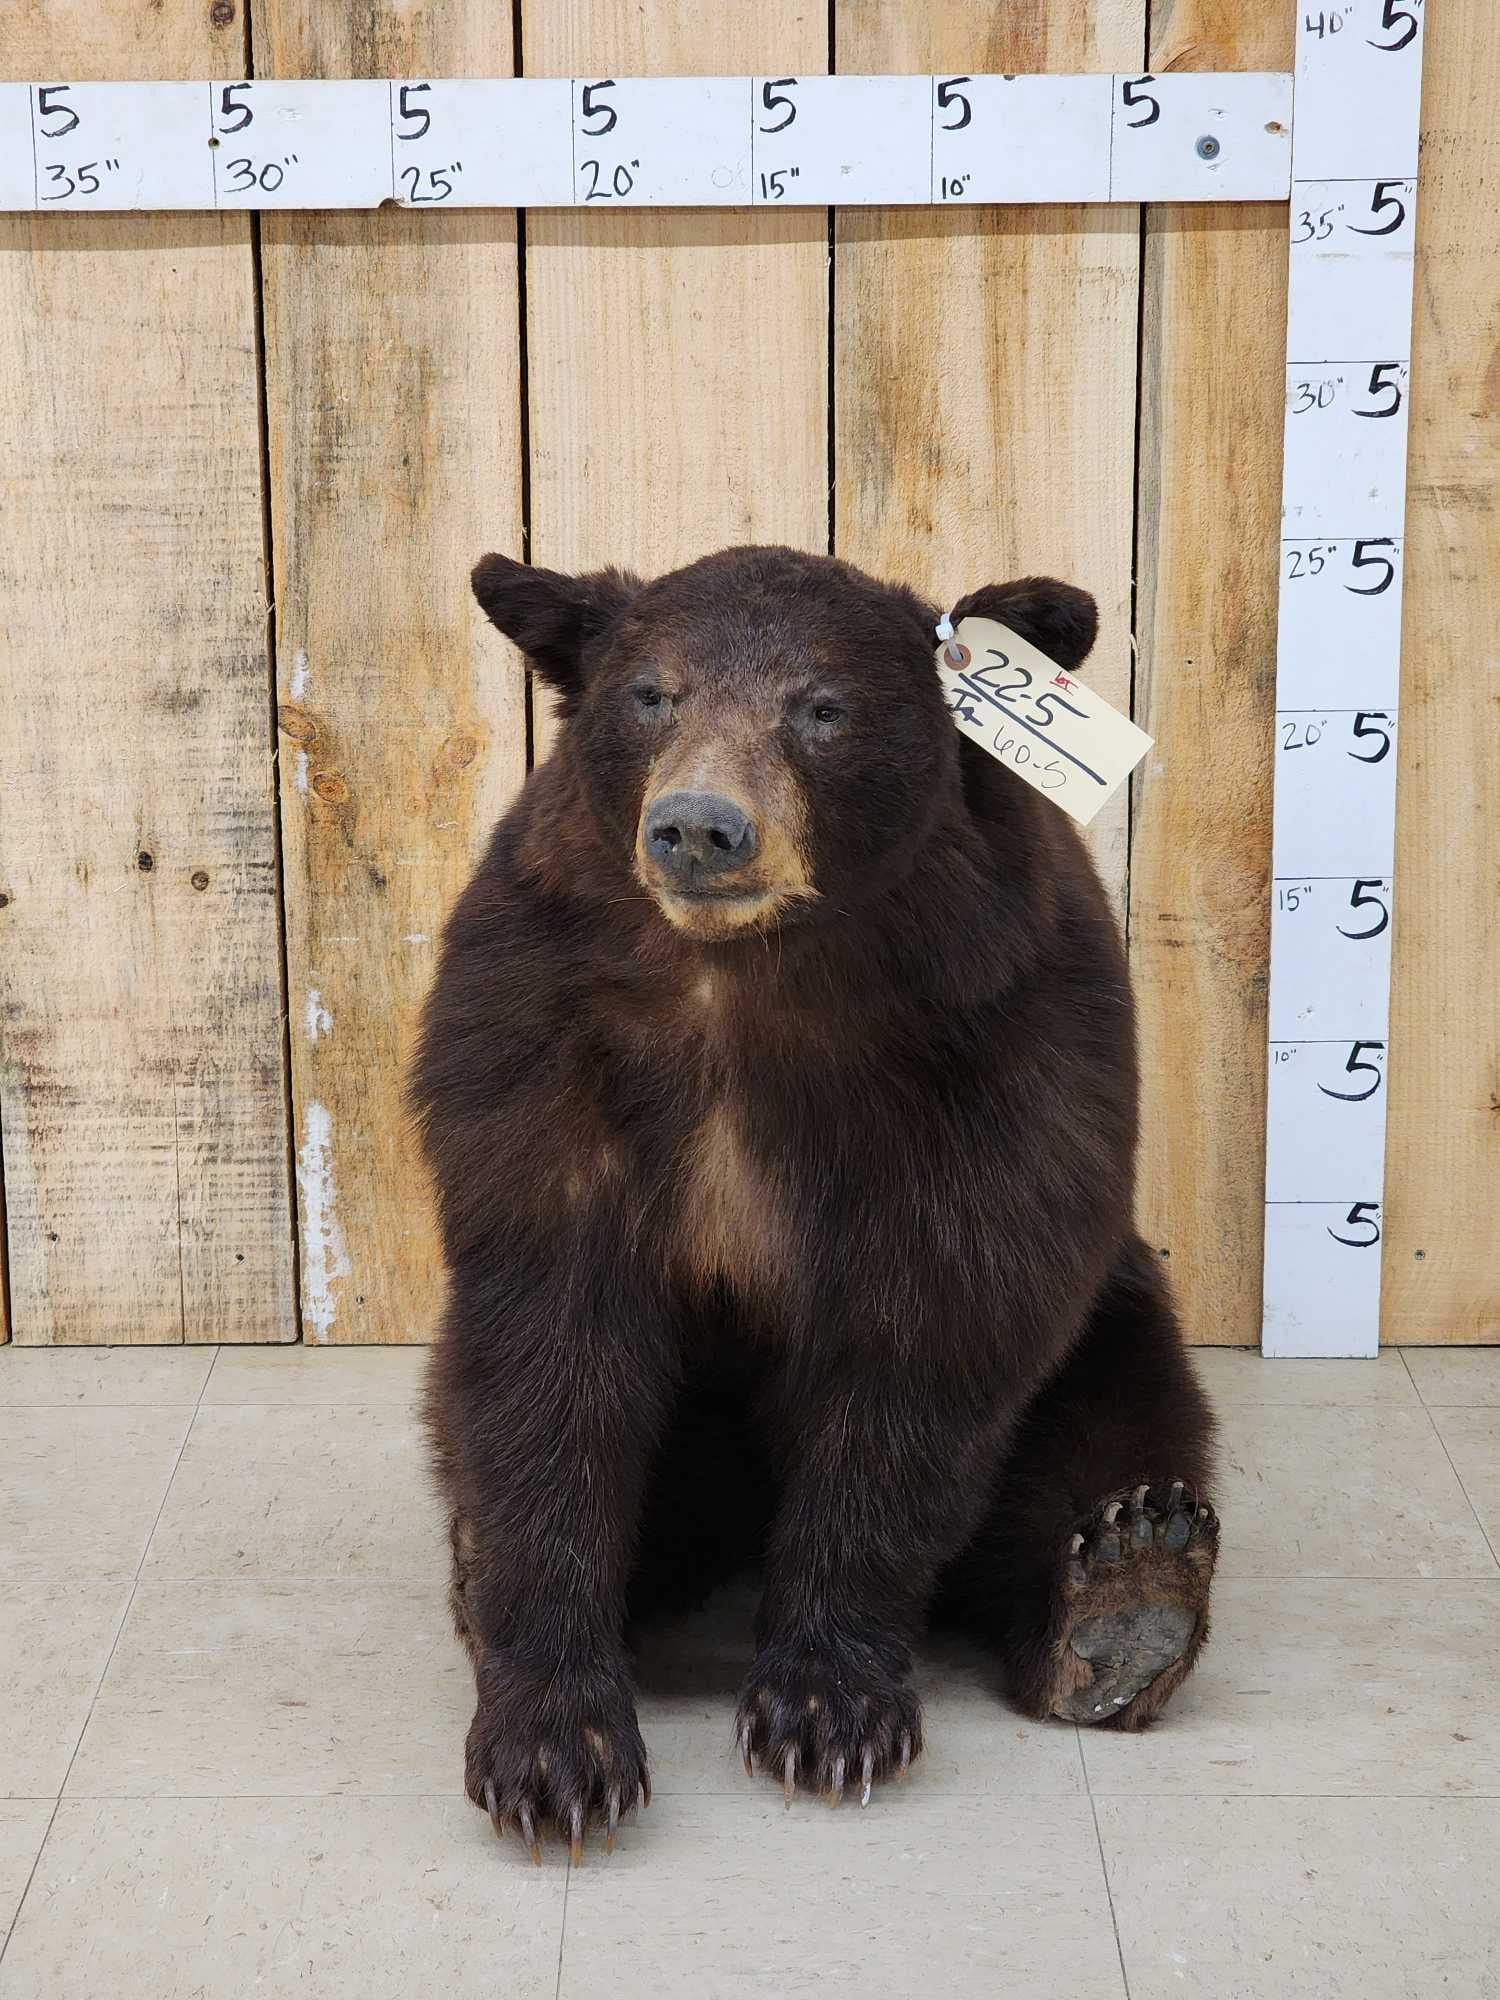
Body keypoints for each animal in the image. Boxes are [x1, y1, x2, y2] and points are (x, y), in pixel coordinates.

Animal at [412, 543, 1218, 1864]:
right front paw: (556, 1740)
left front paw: (828, 1706)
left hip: (1119, 1294)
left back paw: (1127, 1583)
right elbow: (547, 1357)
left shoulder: (1005, 1053)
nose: (698, 825)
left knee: (1125, 1401)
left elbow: (927, 1349)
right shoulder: (537, 1043)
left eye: (822, 708)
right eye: (653, 693)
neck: (751, 986)